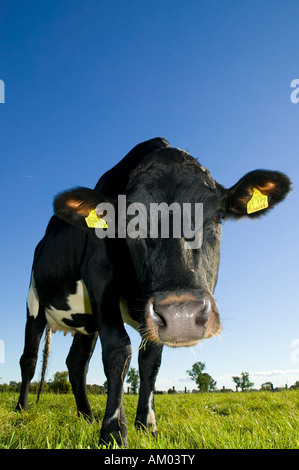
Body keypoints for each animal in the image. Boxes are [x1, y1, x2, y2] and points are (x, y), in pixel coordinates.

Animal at [15, 138, 290, 446]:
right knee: (29, 359)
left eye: (218, 215)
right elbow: (118, 351)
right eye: (130, 221)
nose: (182, 314)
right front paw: (114, 431)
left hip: (87, 322)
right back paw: (22, 410)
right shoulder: (98, 274)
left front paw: (146, 425)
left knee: (76, 364)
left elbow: (150, 360)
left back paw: (86, 415)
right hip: (34, 304)